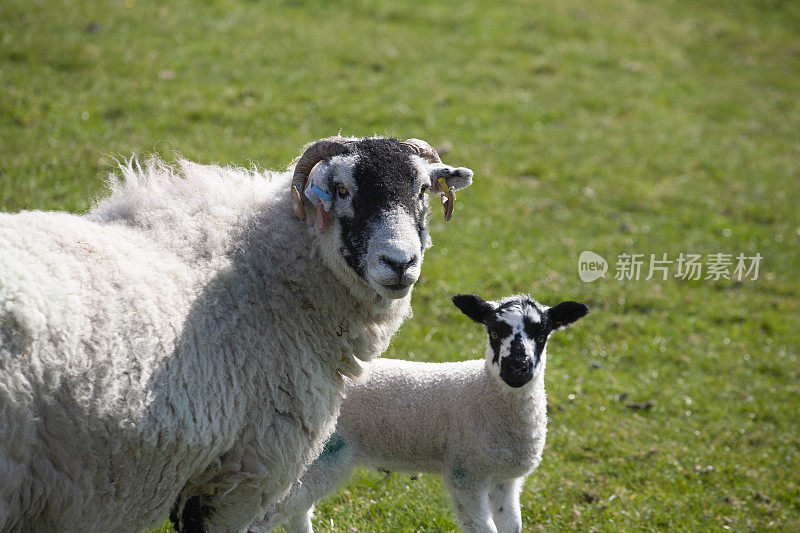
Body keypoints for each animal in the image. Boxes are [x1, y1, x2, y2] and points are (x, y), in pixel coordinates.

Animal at [250, 294, 588, 528]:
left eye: (542, 333)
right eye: (493, 331)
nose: (517, 368)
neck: (484, 394)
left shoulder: (504, 480)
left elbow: (511, 526)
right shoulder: (465, 474)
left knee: (295, 513)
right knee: (266, 516)